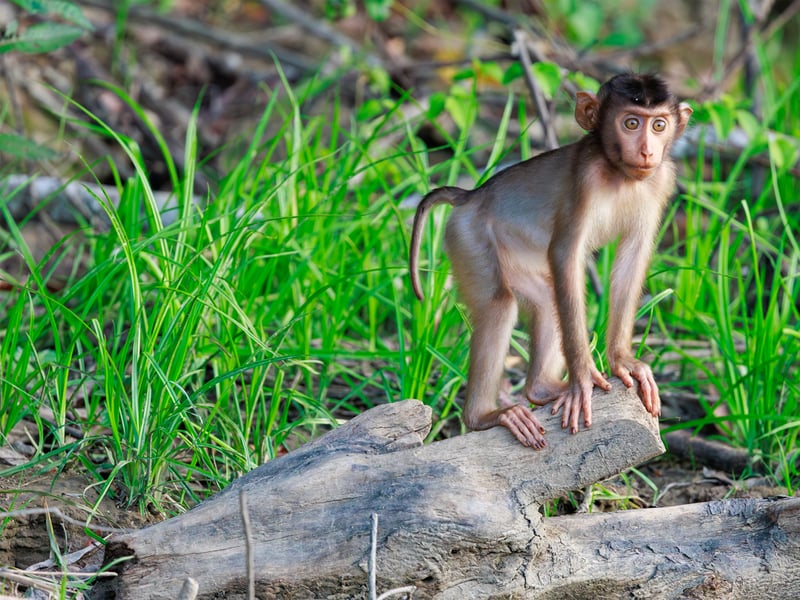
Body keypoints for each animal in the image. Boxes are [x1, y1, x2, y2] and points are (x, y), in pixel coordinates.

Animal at [409, 73, 692, 449]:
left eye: (659, 125)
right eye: (631, 123)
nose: (647, 150)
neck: (619, 174)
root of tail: (470, 196)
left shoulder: (660, 180)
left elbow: (631, 259)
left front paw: (622, 361)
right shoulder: (586, 178)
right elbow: (565, 256)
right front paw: (583, 377)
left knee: (545, 299)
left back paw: (540, 389)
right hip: (467, 236)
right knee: (499, 305)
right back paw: (485, 416)